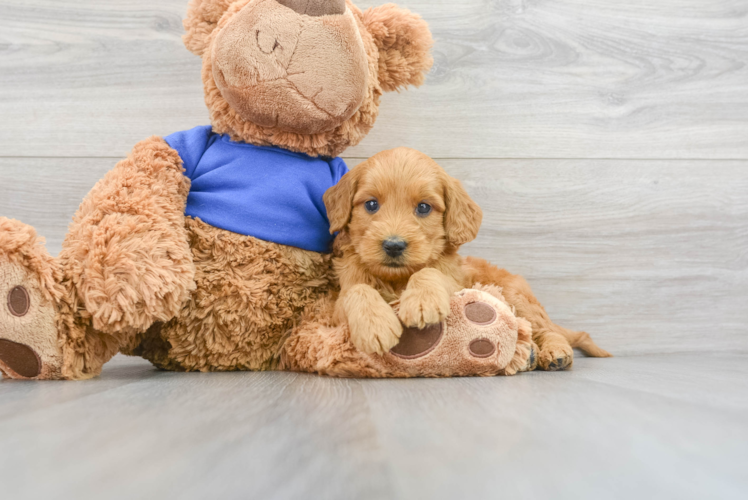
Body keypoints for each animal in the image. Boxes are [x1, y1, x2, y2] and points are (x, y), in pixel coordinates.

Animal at [324, 146, 612, 370]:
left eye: (424, 207)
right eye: (371, 204)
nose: (393, 246)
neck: (396, 279)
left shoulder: (455, 284)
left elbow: (429, 272)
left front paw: (422, 301)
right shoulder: (338, 305)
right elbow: (357, 290)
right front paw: (374, 324)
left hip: (517, 296)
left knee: (545, 329)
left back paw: (554, 353)